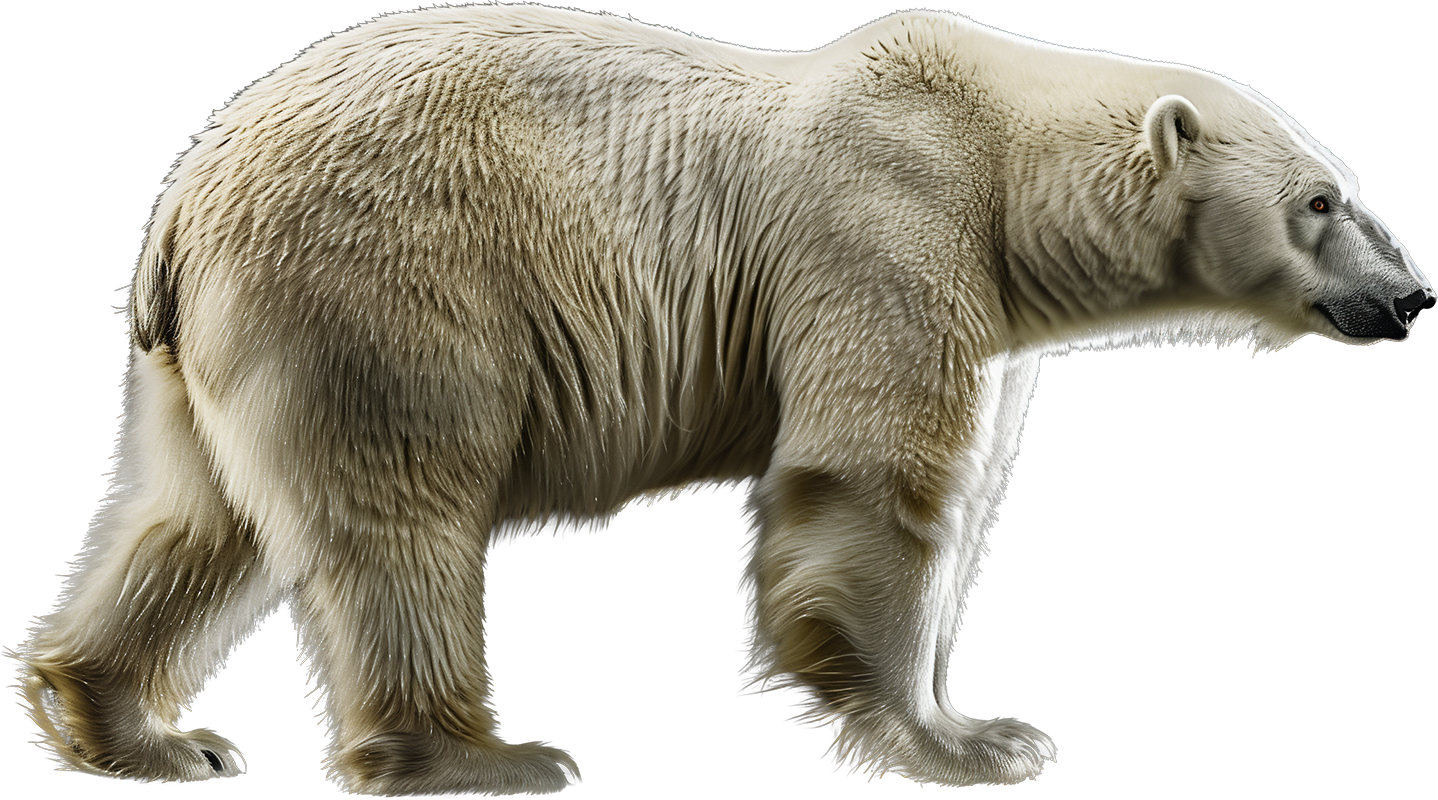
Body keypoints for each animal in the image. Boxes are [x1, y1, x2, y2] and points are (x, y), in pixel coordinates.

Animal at [19, 4, 1435, 796]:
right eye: (1320, 200)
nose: (1412, 294)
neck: (1000, 165)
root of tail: (182, 201)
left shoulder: (990, 311)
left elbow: (960, 487)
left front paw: (981, 724)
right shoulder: (889, 223)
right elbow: (879, 474)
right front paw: (964, 743)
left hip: (216, 348)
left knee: (196, 518)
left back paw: (134, 726)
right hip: (387, 282)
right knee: (398, 515)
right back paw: (483, 756)